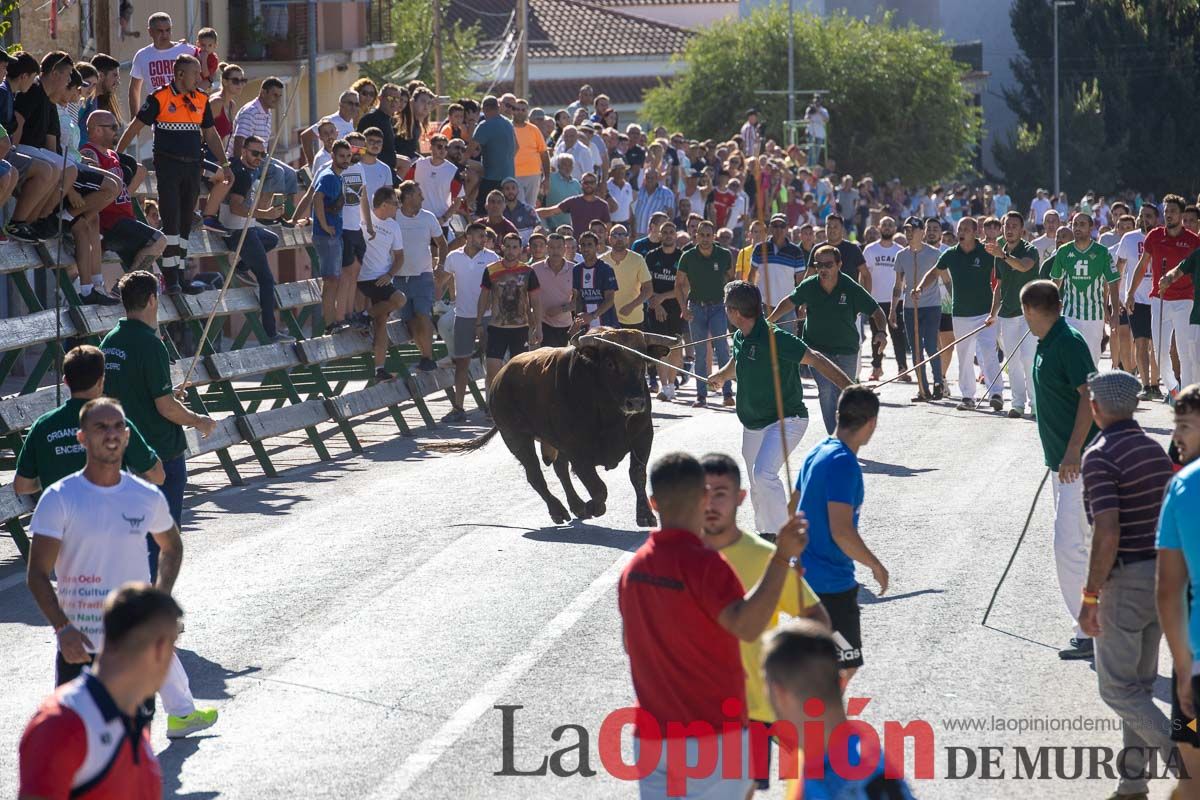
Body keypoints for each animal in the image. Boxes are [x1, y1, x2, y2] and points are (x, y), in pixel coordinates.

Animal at [427, 328, 681, 527]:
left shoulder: (642, 436)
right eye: (610, 363)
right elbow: (598, 487)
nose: (636, 402)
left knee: (559, 469)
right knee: (535, 476)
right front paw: (594, 507)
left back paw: (576, 505)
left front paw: (645, 516)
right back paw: (559, 510)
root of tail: (500, 378)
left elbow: (637, 475)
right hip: (516, 438)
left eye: (643, 363)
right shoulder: (578, 451)